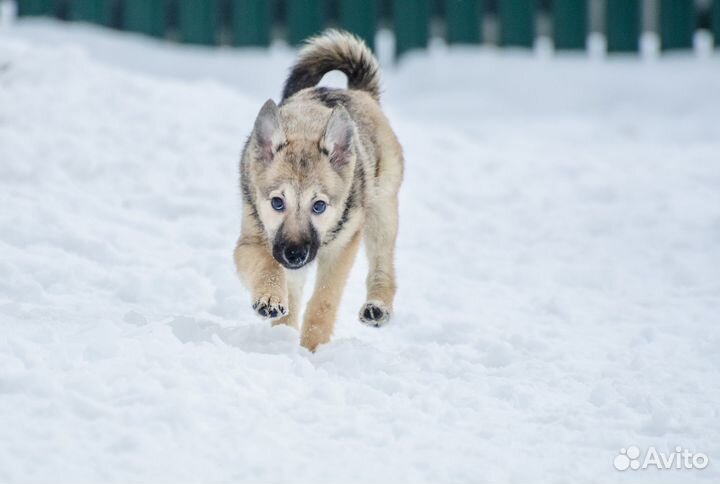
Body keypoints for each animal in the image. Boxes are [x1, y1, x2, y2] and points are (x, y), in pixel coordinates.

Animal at [236, 28, 404, 350]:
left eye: (319, 206)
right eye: (277, 203)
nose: (294, 255)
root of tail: (360, 92)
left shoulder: (342, 248)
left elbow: (324, 300)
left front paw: (311, 349)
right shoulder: (251, 240)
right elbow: (267, 267)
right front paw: (271, 303)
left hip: (382, 209)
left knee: (383, 264)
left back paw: (377, 306)